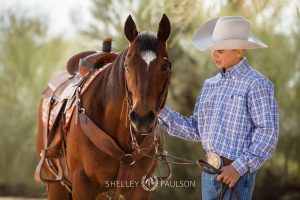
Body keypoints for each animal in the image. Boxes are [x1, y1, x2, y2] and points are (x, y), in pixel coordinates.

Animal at [35, 13, 171, 199]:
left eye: (165, 66)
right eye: (127, 65)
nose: (142, 118)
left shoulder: (140, 189)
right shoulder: (83, 185)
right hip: (56, 185)